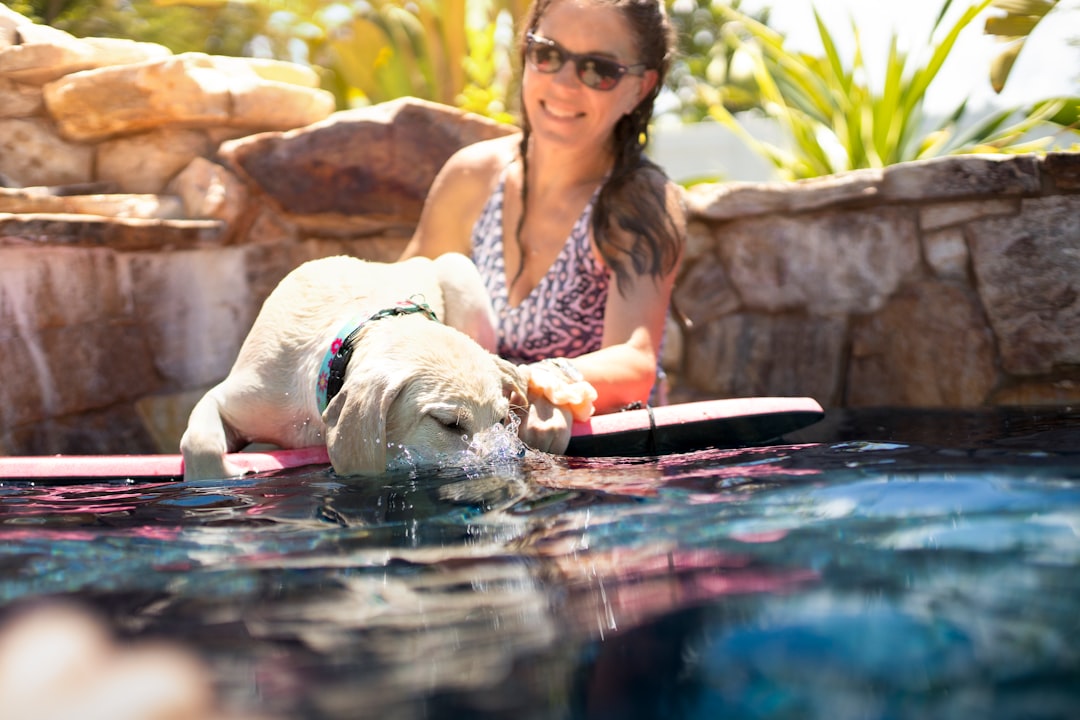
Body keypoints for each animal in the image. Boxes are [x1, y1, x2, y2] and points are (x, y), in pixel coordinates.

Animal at [180, 250, 527, 481]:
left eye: (500, 420)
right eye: (447, 424)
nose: (503, 464)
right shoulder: (248, 392)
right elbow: (202, 442)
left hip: (460, 272)